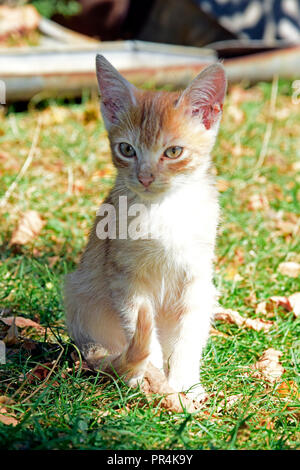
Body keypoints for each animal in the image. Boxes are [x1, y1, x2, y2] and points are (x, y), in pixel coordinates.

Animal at [65, 55, 225, 400]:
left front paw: (185, 384)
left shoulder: (197, 278)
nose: (145, 177)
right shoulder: (125, 278)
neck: (164, 210)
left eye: (173, 152)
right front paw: (152, 381)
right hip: (78, 292)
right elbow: (142, 332)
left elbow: (189, 336)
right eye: (127, 149)